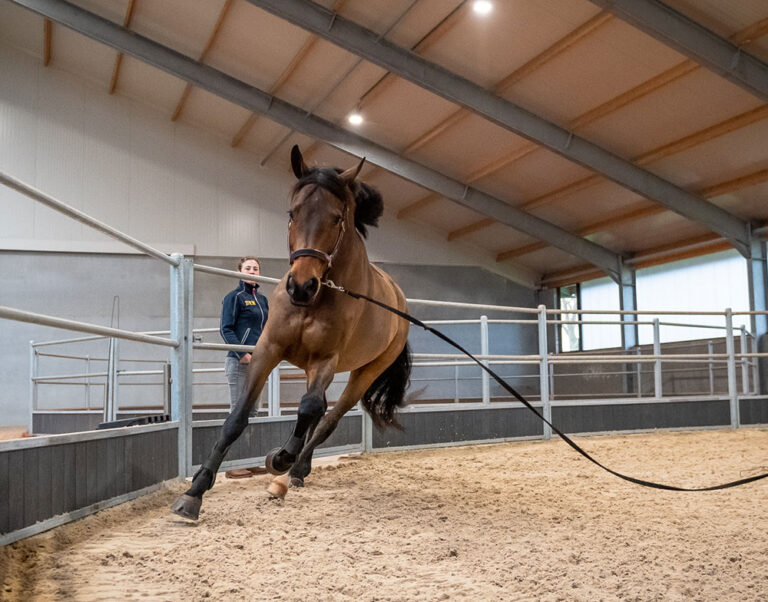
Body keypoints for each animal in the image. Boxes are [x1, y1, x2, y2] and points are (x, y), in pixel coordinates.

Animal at [172, 146, 412, 520]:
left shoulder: (325, 360)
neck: (318, 298)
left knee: (327, 417)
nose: (301, 285)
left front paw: (280, 458)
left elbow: (309, 407)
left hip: (365, 372)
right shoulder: (268, 350)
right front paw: (194, 492)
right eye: (292, 212)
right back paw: (295, 471)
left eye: (337, 218)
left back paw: (293, 469)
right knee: (319, 411)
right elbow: (237, 418)